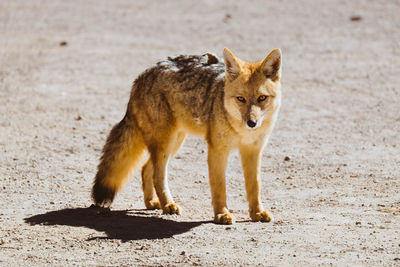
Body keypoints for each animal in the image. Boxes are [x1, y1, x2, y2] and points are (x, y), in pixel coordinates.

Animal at [91, 47, 282, 224]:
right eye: (241, 99)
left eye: (262, 98)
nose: (252, 123)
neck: (241, 131)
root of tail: (143, 74)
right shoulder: (217, 150)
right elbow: (219, 186)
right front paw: (221, 214)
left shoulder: (253, 151)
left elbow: (254, 185)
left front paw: (257, 212)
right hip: (166, 144)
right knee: (157, 175)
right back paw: (168, 204)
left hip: (174, 143)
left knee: (146, 169)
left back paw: (152, 202)